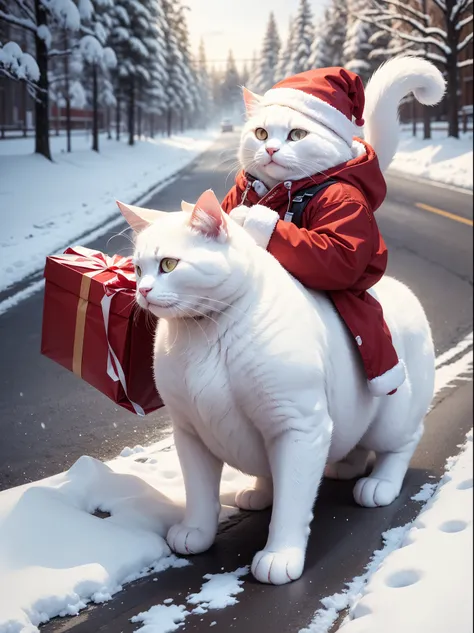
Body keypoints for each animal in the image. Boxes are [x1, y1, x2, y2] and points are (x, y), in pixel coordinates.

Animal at [116, 56, 442, 584]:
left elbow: (293, 503)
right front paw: (196, 533)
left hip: (393, 415)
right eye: (137, 267)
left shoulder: (298, 427)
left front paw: (280, 555)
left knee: (405, 439)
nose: (143, 291)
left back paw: (378, 484)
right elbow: (200, 495)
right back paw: (315, 474)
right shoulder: (190, 433)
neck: (206, 336)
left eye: (168, 265)